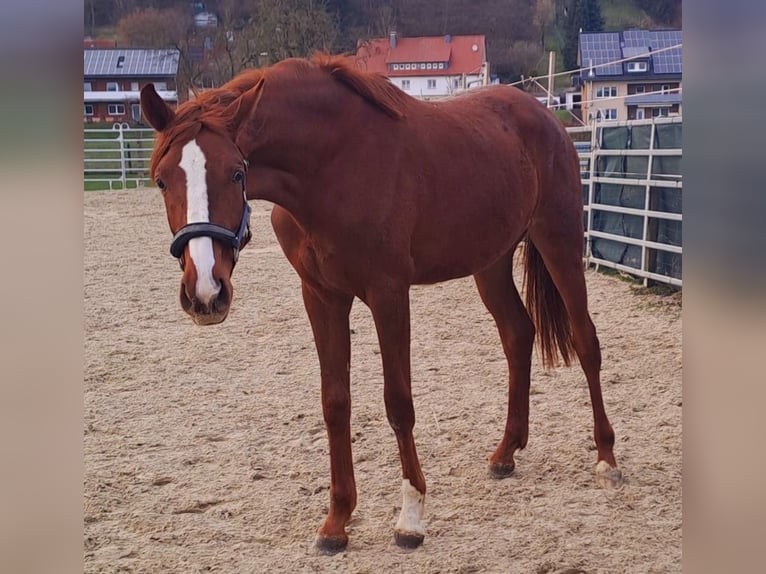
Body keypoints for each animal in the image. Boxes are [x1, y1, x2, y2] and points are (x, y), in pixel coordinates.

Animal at [141, 53, 624, 552]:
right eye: (161, 182)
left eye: (236, 174)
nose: (206, 291)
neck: (331, 166)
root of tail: (546, 118)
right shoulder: (321, 296)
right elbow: (335, 403)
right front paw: (337, 521)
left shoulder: (388, 293)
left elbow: (398, 401)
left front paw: (410, 517)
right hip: (490, 263)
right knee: (517, 334)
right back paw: (506, 452)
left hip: (559, 240)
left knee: (585, 340)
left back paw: (607, 459)